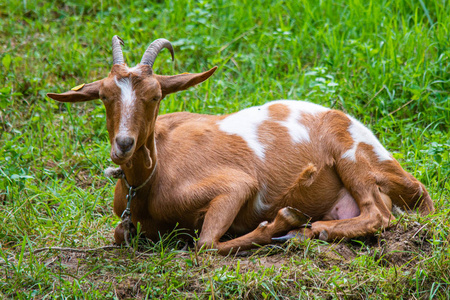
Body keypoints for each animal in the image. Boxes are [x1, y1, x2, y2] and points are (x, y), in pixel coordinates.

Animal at [47, 36, 434, 254]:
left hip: (351, 154)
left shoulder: (236, 185)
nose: (123, 145)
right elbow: (118, 233)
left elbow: (205, 245)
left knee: (379, 215)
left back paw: (306, 231)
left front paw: (279, 224)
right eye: (104, 96)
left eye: (155, 96)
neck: (148, 183)